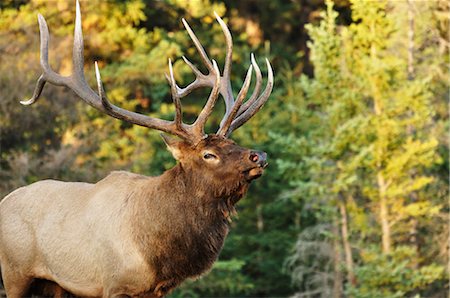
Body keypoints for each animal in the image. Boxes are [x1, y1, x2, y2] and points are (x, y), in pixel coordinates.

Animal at [0, 1, 274, 296]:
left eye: (232, 143)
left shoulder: (160, 289)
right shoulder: (114, 283)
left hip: (54, 285)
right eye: (208, 154)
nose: (259, 155)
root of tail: (4, 201)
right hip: (15, 272)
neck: (156, 255)